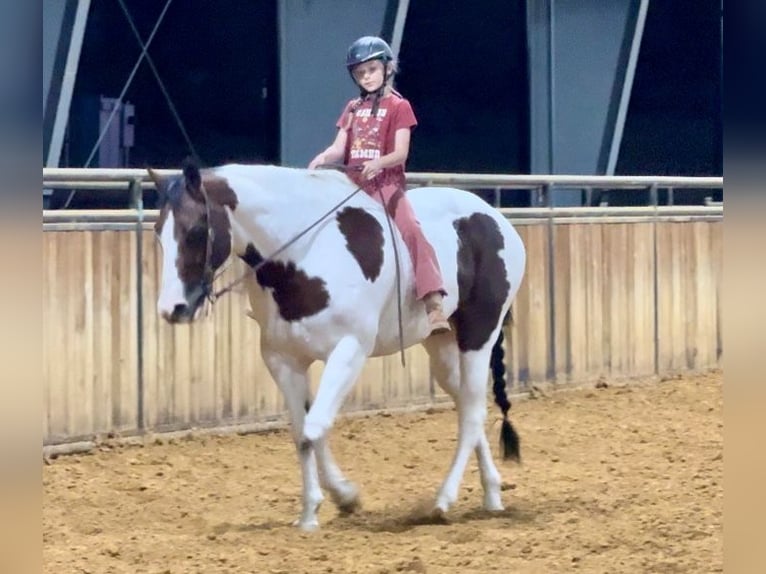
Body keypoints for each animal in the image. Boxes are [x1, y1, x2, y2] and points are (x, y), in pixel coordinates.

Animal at [153, 162, 532, 532]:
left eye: (195, 230)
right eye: (158, 232)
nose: (173, 309)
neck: (304, 254)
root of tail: (494, 218)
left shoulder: (349, 351)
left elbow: (314, 427)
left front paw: (335, 501)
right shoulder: (282, 359)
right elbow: (302, 434)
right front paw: (320, 508)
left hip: (478, 336)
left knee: (472, 414)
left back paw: (442, 502)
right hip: (441, 347)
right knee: (467, 404)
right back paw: (492, 494)